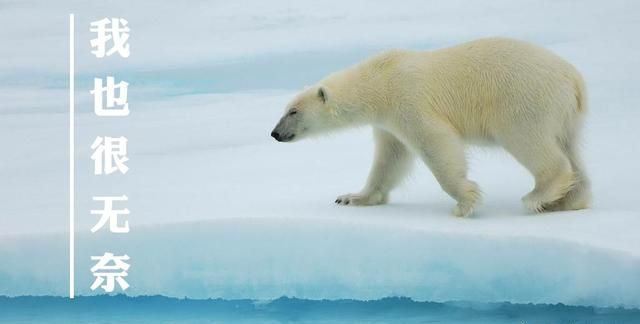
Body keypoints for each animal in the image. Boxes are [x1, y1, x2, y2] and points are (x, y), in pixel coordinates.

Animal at [270, 36, 592, 216]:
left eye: (293, 111)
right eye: (284, 110)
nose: (275, 133)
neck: (379, 80)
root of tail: (573, 79)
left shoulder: (408, 100)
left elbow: (436, 142)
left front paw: (465, 201)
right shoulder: (388, 122)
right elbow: (390, 158)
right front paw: (352, 197)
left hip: (523, 100)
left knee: (530, 142)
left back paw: (539, 196)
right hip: (566, 115)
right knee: (572, 149)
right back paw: (568, 200)